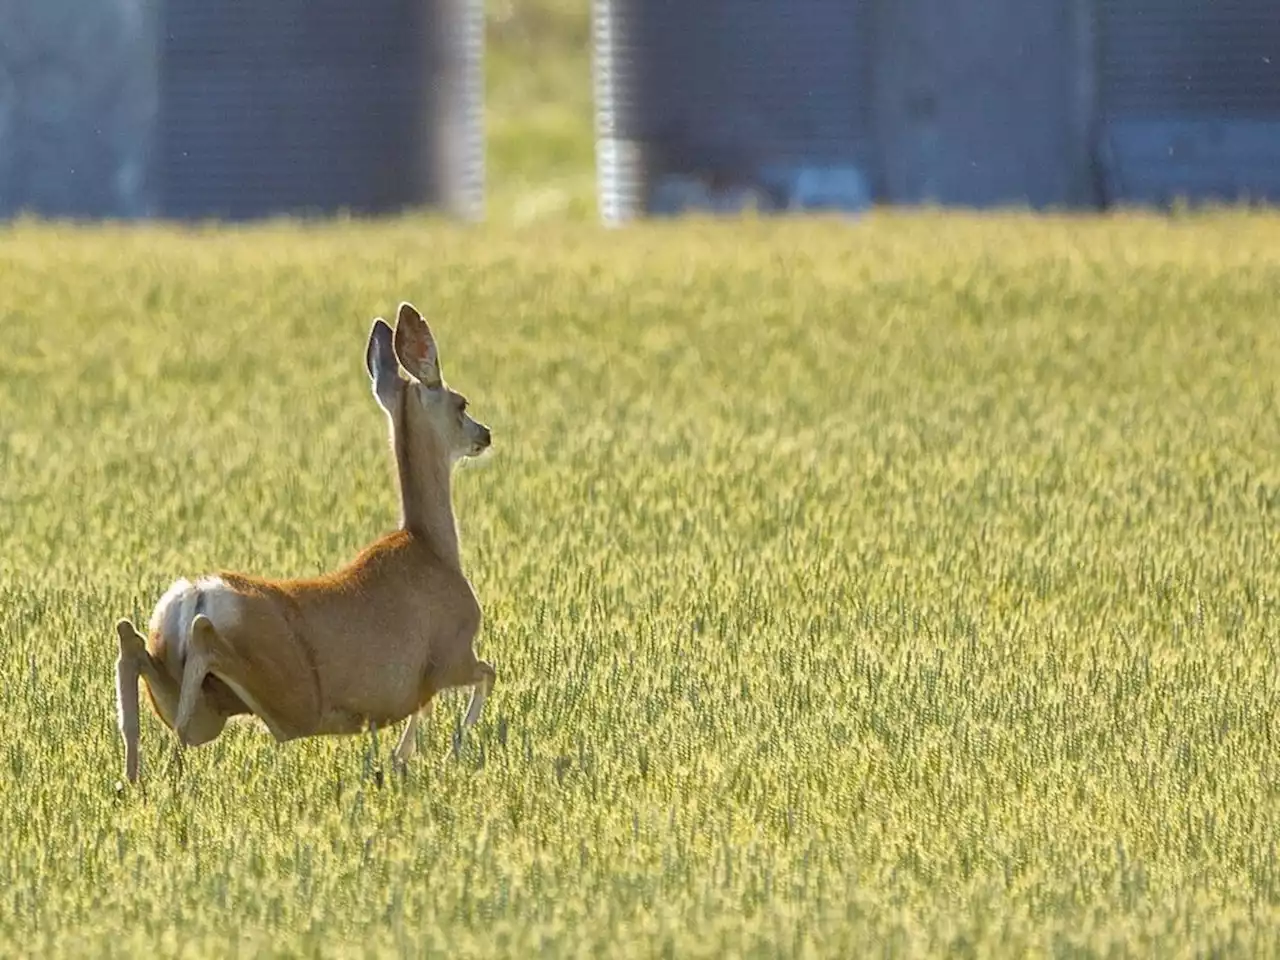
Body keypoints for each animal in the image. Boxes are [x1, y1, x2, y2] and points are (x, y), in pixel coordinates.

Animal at [113, 300, 494, 783]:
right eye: (461, 403)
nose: (485, 434)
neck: (431, 548)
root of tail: (195, 594)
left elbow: (424, 709)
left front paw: (402, 759)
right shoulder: (452, 653)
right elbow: (482, 677)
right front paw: (445, 752)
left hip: (204, 699)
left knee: (132, 644)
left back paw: (133, 777)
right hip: (290, 694)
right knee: (196, 647)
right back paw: (167, 768)